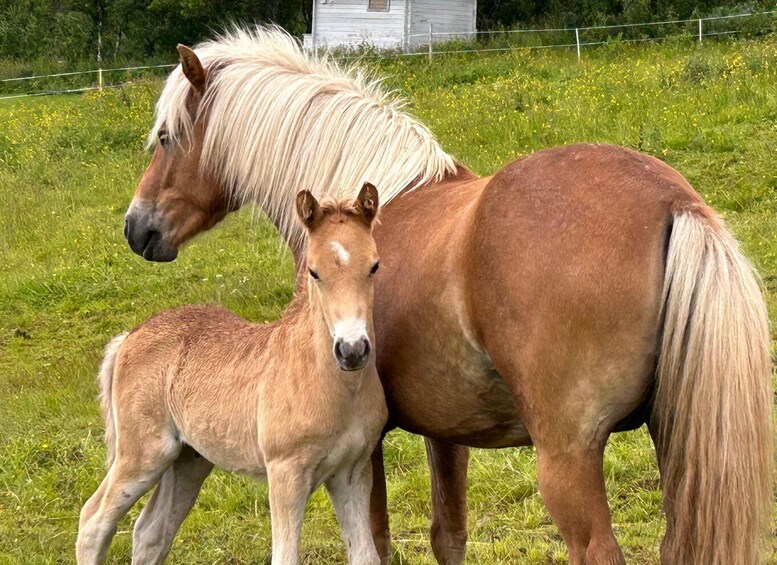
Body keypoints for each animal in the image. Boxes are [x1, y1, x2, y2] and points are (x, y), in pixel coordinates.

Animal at [76, 185, 384, 564]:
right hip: (143, 453)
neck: (333, 384)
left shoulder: (352, 472)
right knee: (93, 522)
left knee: (151, 533)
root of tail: (130, 336)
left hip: (188, 459)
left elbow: (366, 555)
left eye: (374, 265)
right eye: (313, 272)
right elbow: (285, 556)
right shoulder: (285, 474)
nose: (352, 350)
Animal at [124, 27, 772, 564]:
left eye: (166, 138)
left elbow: (377, 542)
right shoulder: (446, 432)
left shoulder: (363, 449)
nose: (137, 228)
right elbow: (448, 535)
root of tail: (672, 202)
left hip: (569, 458)